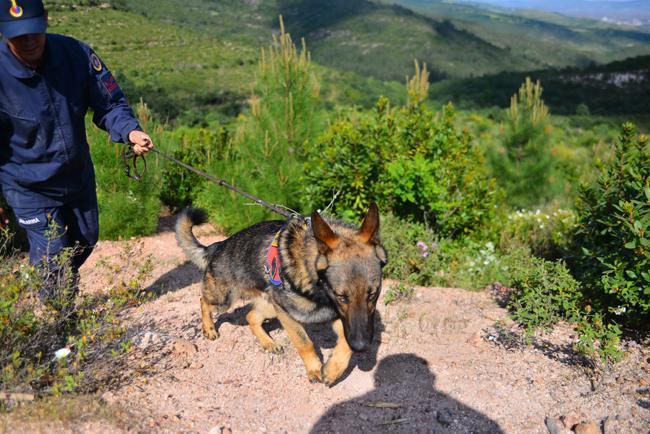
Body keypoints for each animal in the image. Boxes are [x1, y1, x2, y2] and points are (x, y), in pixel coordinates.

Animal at [175, 205, 384, 384]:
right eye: (341, 297)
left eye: (372, 294)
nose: (362, 346)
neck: (317, 285)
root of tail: (218, 245)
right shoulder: (287, 313)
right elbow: (304, 343)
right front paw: (314, 369)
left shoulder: (343, 318)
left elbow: (345, 343)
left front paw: (332, 370)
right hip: (225, 300)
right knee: (203, 301)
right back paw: (209, 328)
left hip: (269, 306)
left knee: (251, 316)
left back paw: (269, 343)